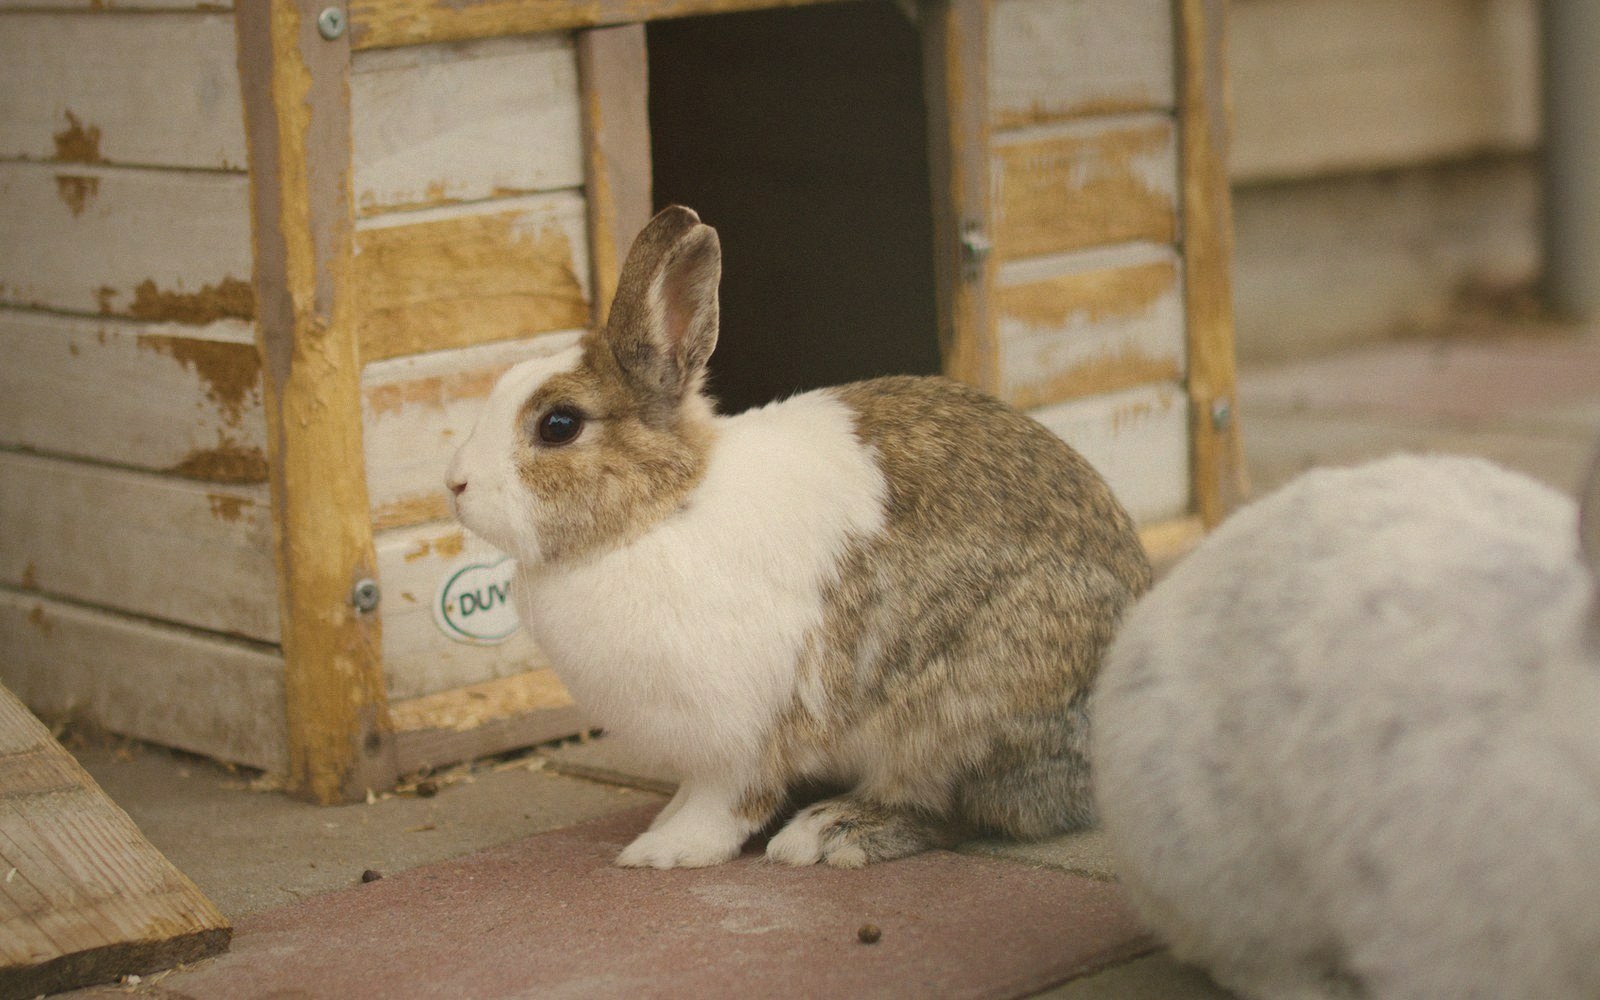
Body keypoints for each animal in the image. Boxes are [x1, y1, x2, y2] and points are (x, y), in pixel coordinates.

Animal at [446, 205, 1152, 869]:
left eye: (559, 425)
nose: (454, 484)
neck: (664, 511)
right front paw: (662, 824)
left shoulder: (744, 734)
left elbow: (728, 801)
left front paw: (665, 851)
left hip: (958, 713)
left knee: (956, 809)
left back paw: (830, 833)